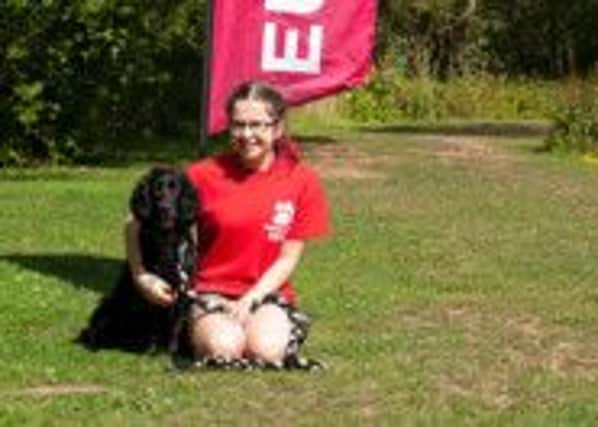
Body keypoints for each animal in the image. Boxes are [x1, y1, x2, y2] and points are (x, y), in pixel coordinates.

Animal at [76, 166, 199, 356]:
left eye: (175, 189)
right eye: (156, 189)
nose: (165, 208)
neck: (167, 239)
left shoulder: (183, 289)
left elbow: (176, 324)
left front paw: (171, 350)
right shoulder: (152, 291)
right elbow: (153, 324)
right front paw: (151, 349)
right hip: (109, 304)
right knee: (95, 329)